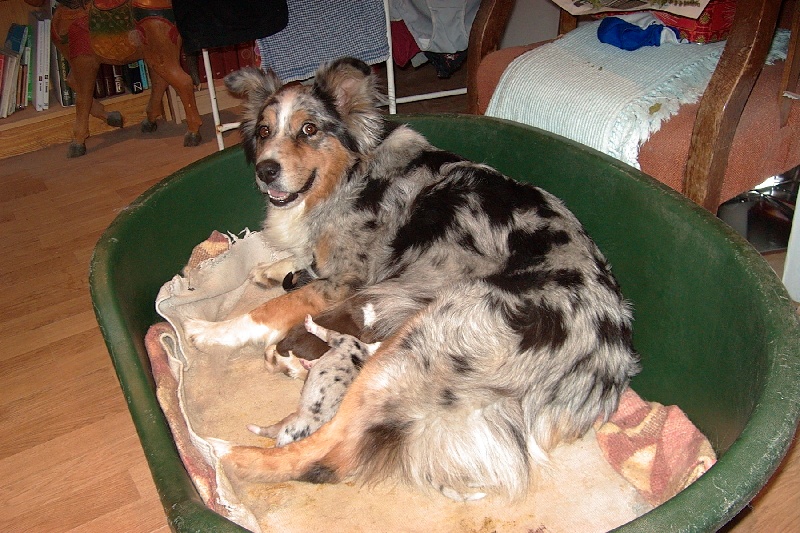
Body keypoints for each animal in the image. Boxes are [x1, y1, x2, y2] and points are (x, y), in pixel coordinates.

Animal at [184, 59, 640, 502]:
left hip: (417, 344)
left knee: (325, 454)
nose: (266, 171)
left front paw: (210, 331)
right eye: (263, 131)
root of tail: (601, 362)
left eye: (309, 129)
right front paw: (271, 269)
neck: (349, 175)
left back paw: (221, 453)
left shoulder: (351, 281)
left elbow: (273, 308)